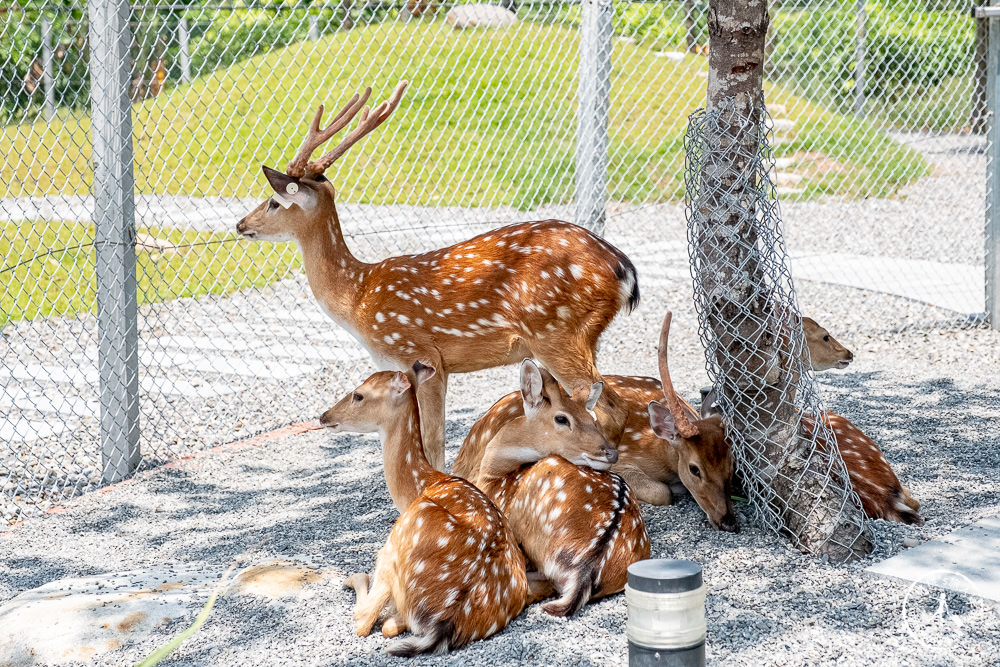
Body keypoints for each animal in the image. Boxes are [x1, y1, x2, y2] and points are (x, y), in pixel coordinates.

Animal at [238, 82, 636, 470]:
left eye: (273, 202)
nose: (241, 224)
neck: (358, 298)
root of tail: (624, 269)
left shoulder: (420, 355)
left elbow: (432, 445)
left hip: (556, 332)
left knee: (607, 406)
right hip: (580, 336)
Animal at [322, 362, 540, 656]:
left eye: (359, 394)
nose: (324, 416)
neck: (423, 483)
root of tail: (448, 620)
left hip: (397, 542)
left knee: (365, 619)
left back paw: (353, 580)